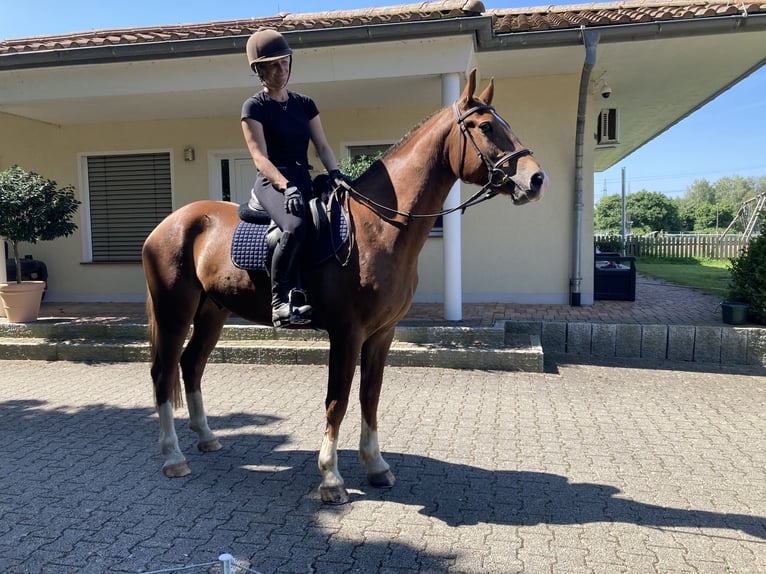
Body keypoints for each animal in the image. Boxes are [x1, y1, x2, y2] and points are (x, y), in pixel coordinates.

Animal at [142, 71, 552, 504]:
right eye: (486, 127)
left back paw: (206, 437)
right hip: (174, 312)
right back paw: (173, 456)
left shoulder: (382, 333)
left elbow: (370, 396)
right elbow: (337, 400)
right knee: (163, 372)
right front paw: (331, 478)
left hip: (212, 311)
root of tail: (168, 224)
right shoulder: (347, 333)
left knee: (191, 365)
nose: (536, 179)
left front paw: (376, 466)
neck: (380, 226)